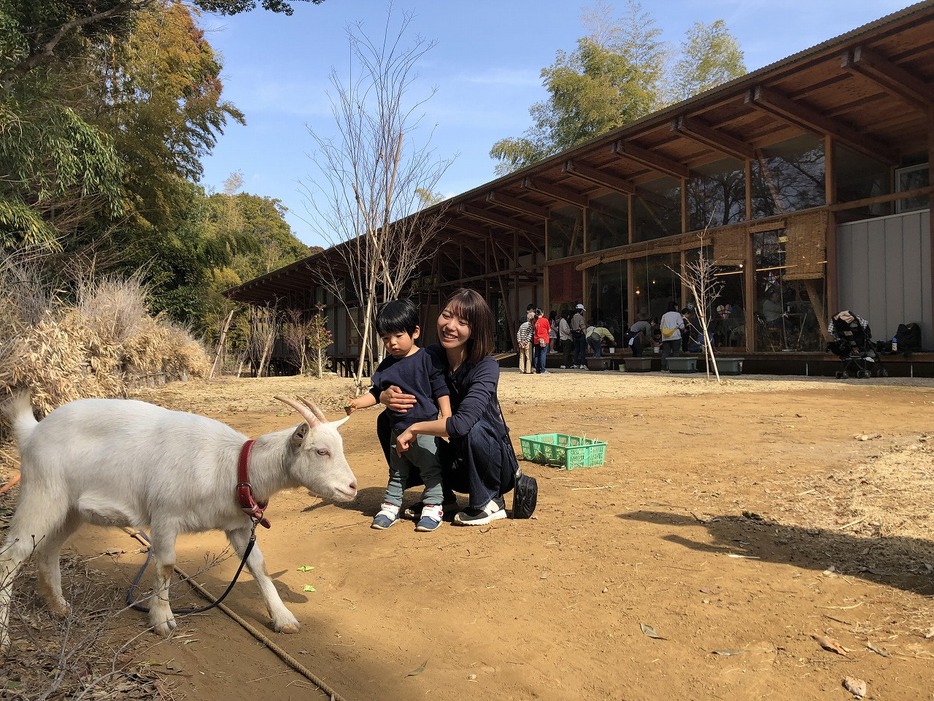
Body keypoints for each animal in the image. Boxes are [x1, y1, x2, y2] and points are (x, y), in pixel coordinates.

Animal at [0, 392, 358, 652]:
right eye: (320, 451)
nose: (352, 487)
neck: (233, 466)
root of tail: (32, 431)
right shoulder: (165, 515)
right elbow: (167, 565)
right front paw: (162, 620)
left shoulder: (238, 526)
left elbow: (258, 565)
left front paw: (283, 618)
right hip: (42, 492)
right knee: (11, 556)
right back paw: (5, 638)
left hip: (69, 509)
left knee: (47, 550)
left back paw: (59, 607)